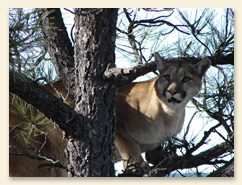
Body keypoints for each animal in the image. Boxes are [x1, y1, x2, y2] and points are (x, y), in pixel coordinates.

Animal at [9, 52, 210, 176]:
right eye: (167, 77)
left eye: (186, 79)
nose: (172, 92)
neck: (168, 114)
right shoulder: (117, 110)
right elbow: (129, 144)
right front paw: (137, 165)